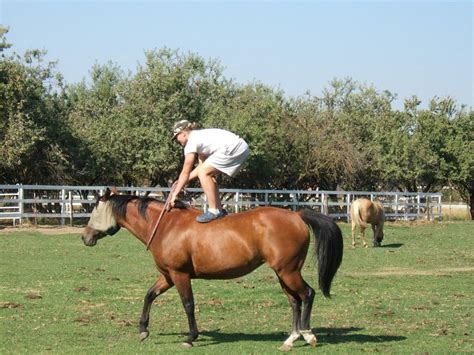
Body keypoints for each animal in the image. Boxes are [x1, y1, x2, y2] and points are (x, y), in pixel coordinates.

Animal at [80, 191, 340, 352]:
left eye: (94, 210)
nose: (85, 237)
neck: (166, 225)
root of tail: (296, 214)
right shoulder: (168, 276)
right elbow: (149, 295)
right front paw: (143, 330)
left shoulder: (180, 275)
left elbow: (188, 304)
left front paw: (191, 337)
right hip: (283, 273)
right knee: (294, 301)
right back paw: (291, 339)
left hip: (288, 272)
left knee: (307, 294)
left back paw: (307, 334)